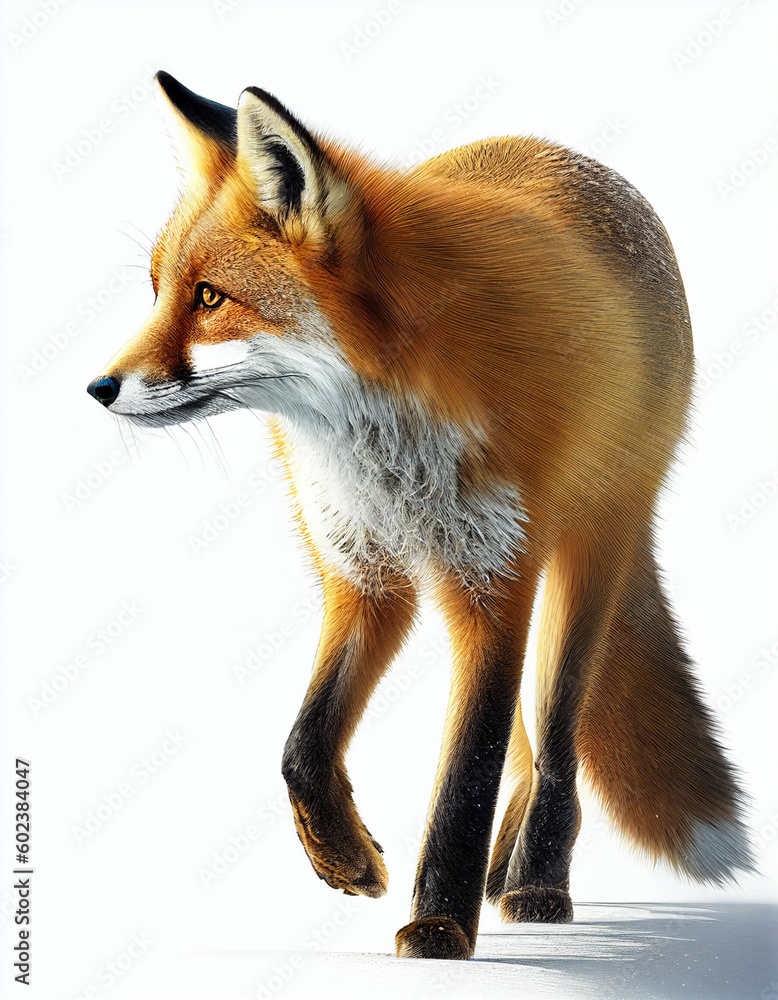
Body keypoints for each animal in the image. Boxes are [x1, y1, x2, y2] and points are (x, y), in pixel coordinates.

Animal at [87, 72, 754, 960]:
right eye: (160, 291)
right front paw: (346, 859)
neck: (386, 438)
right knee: (529, 751)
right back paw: (503, 873)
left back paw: (536, 881)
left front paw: (437, 925)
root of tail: (570, 157)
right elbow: (303, 745)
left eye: (210, 298)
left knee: (554, 746)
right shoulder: (364, 573)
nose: (99, 387)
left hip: (585, 565)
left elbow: (467, 773)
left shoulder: (495, 578)